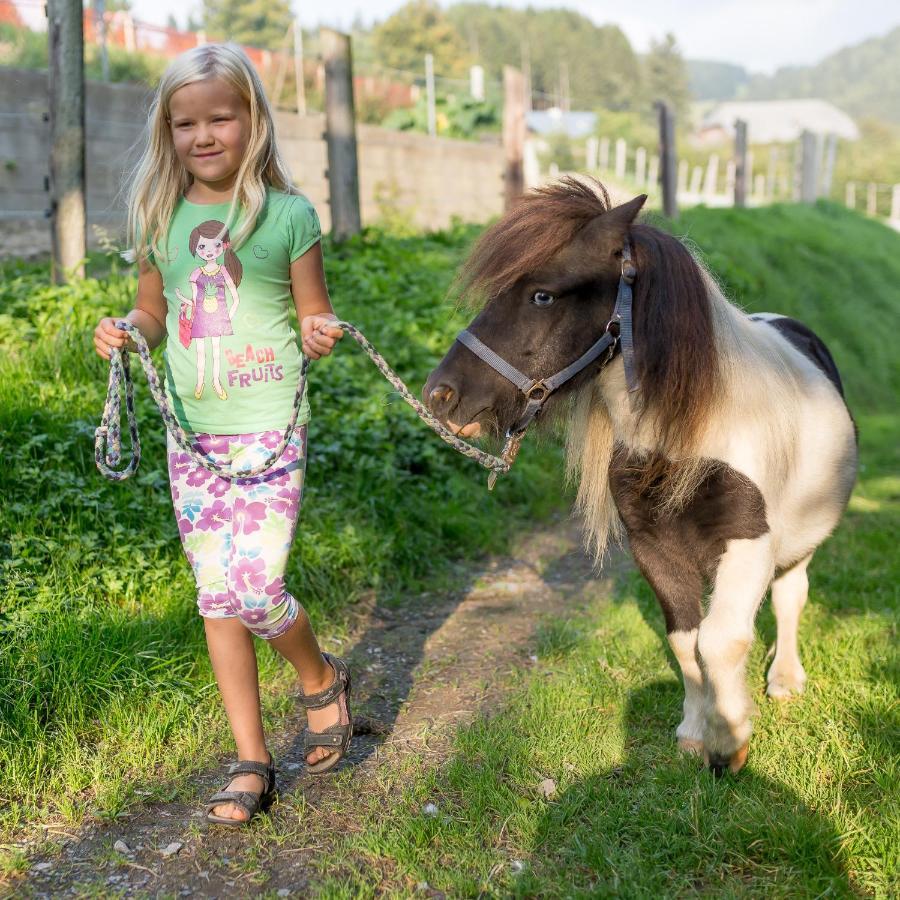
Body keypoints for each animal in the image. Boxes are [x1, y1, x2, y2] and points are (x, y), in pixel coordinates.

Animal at [424, 181, 856, 772]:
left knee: (791, 597)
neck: (691, 434)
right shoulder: (652, 546)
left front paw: (731, 742)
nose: (440, 396)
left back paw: (786, 680)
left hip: (801, 541)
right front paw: (695, 733)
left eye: (542, 296)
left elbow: (720, 641)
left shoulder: (749, 544)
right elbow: (685, 642)